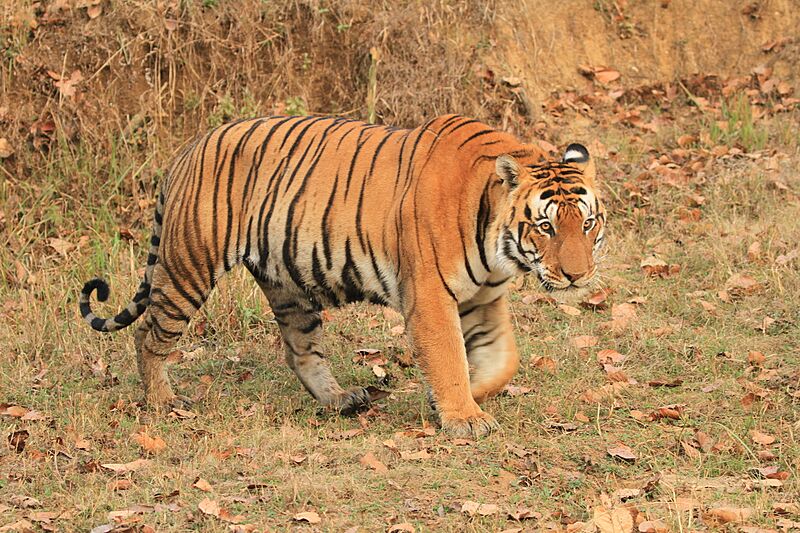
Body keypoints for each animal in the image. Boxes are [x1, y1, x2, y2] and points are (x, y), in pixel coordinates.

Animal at [79, 114, 605, 438]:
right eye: (546, 226)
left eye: (587, 223)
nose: (576, 276)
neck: (498, 243)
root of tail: (189, 147)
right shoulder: (432, 297)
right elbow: (449, 356)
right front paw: (462, 417)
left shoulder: (483, 297)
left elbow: (503, 361)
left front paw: (460, 399)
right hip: (190, 265)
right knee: (149, 334)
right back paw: (163, 402)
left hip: (288, 288)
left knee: (300, 351)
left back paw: (339, 400)